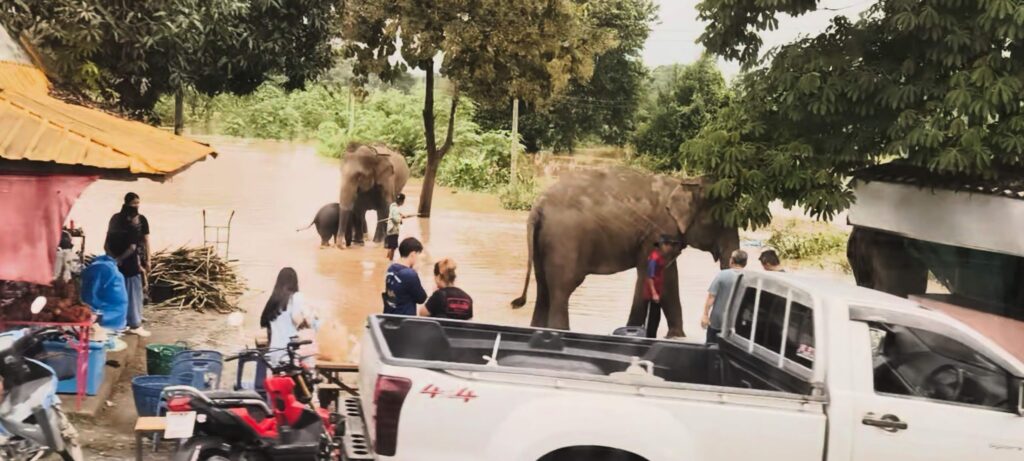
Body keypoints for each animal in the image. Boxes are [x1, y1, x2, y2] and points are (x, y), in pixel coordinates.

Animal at [509, 166, 737, 336]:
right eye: (722, 222)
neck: (683, 183)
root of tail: (537, 206)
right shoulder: (658, 233)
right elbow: (660, 277)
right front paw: (669, 336)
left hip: (543, 242)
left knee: (543, 287)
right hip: (564, 239)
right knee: (562, 288)